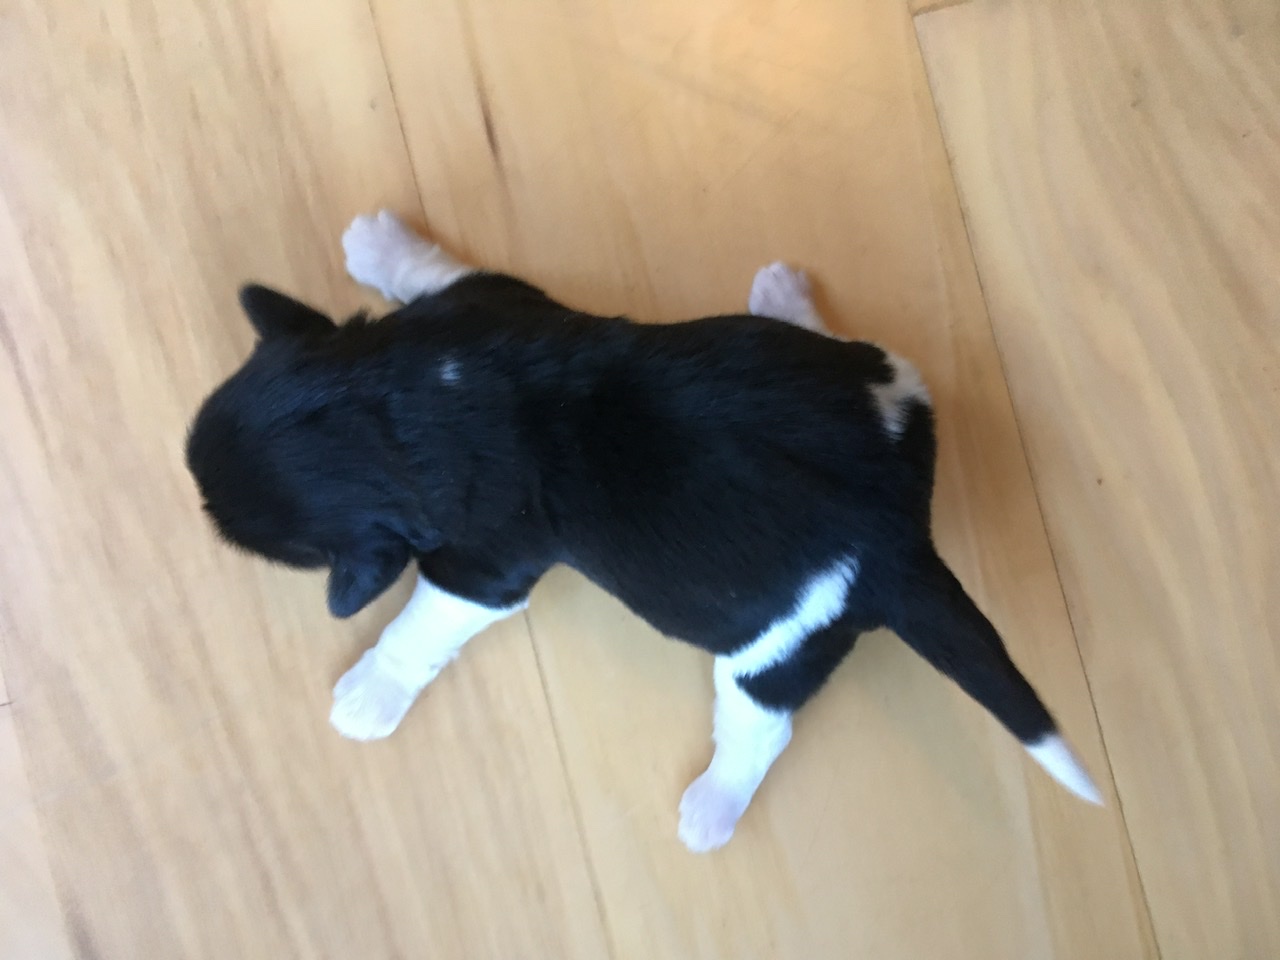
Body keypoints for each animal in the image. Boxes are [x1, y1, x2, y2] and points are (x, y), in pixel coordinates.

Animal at [185, 210, 1101, 852]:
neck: (402, 403)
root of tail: (900, 536)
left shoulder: (487, 569)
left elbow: (420, 626)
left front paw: (369, 696)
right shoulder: (490, 294)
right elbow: (431, 265)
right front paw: (379, 244)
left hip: (772, 652)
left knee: (762, 728)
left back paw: (712, 811)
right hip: (871, 382)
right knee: (872, 350)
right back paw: (787, 298)